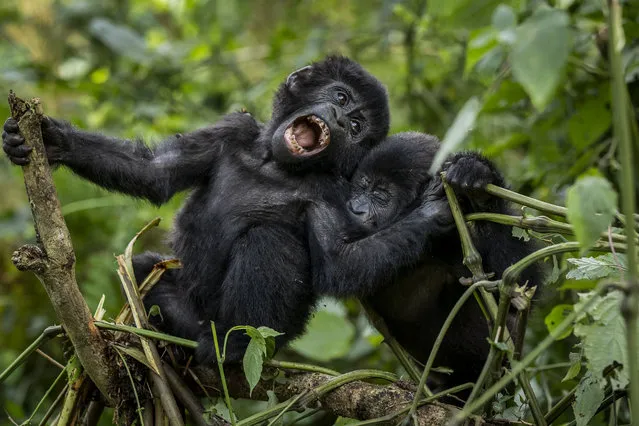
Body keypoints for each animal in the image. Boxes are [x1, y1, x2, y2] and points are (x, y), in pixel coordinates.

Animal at [1, 55, 390, 362]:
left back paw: (234, 346)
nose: (340, 119)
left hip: (266, 335)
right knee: (144, 267)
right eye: (340, 96)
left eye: (357, 126)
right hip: (187, 312)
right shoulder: (232, 130)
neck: (273, 164)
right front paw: (54, 140)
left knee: (268, 240)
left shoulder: (333, 192)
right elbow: (155, 171)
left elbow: (343, 265)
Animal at [308, 132, 544, 386]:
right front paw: (430, 212)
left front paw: (479, 180)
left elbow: (517, 289)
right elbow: (337, 264)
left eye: (380, 196)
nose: (354, 208)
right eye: (361, 186)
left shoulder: (454, 238)